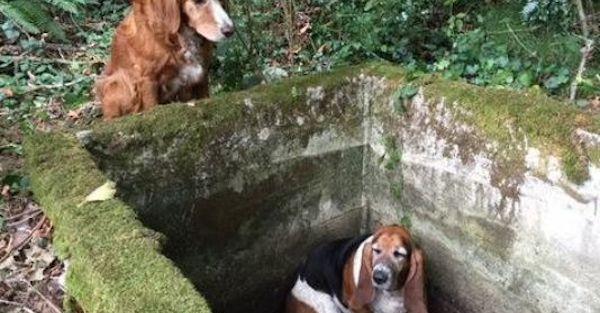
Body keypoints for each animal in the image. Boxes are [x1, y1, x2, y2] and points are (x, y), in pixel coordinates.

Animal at [95, 0, 233, 119]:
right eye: (198, 1)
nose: (230, 31)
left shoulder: (201, 75)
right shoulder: (147, 80)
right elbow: (152, 107)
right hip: (119, 82)